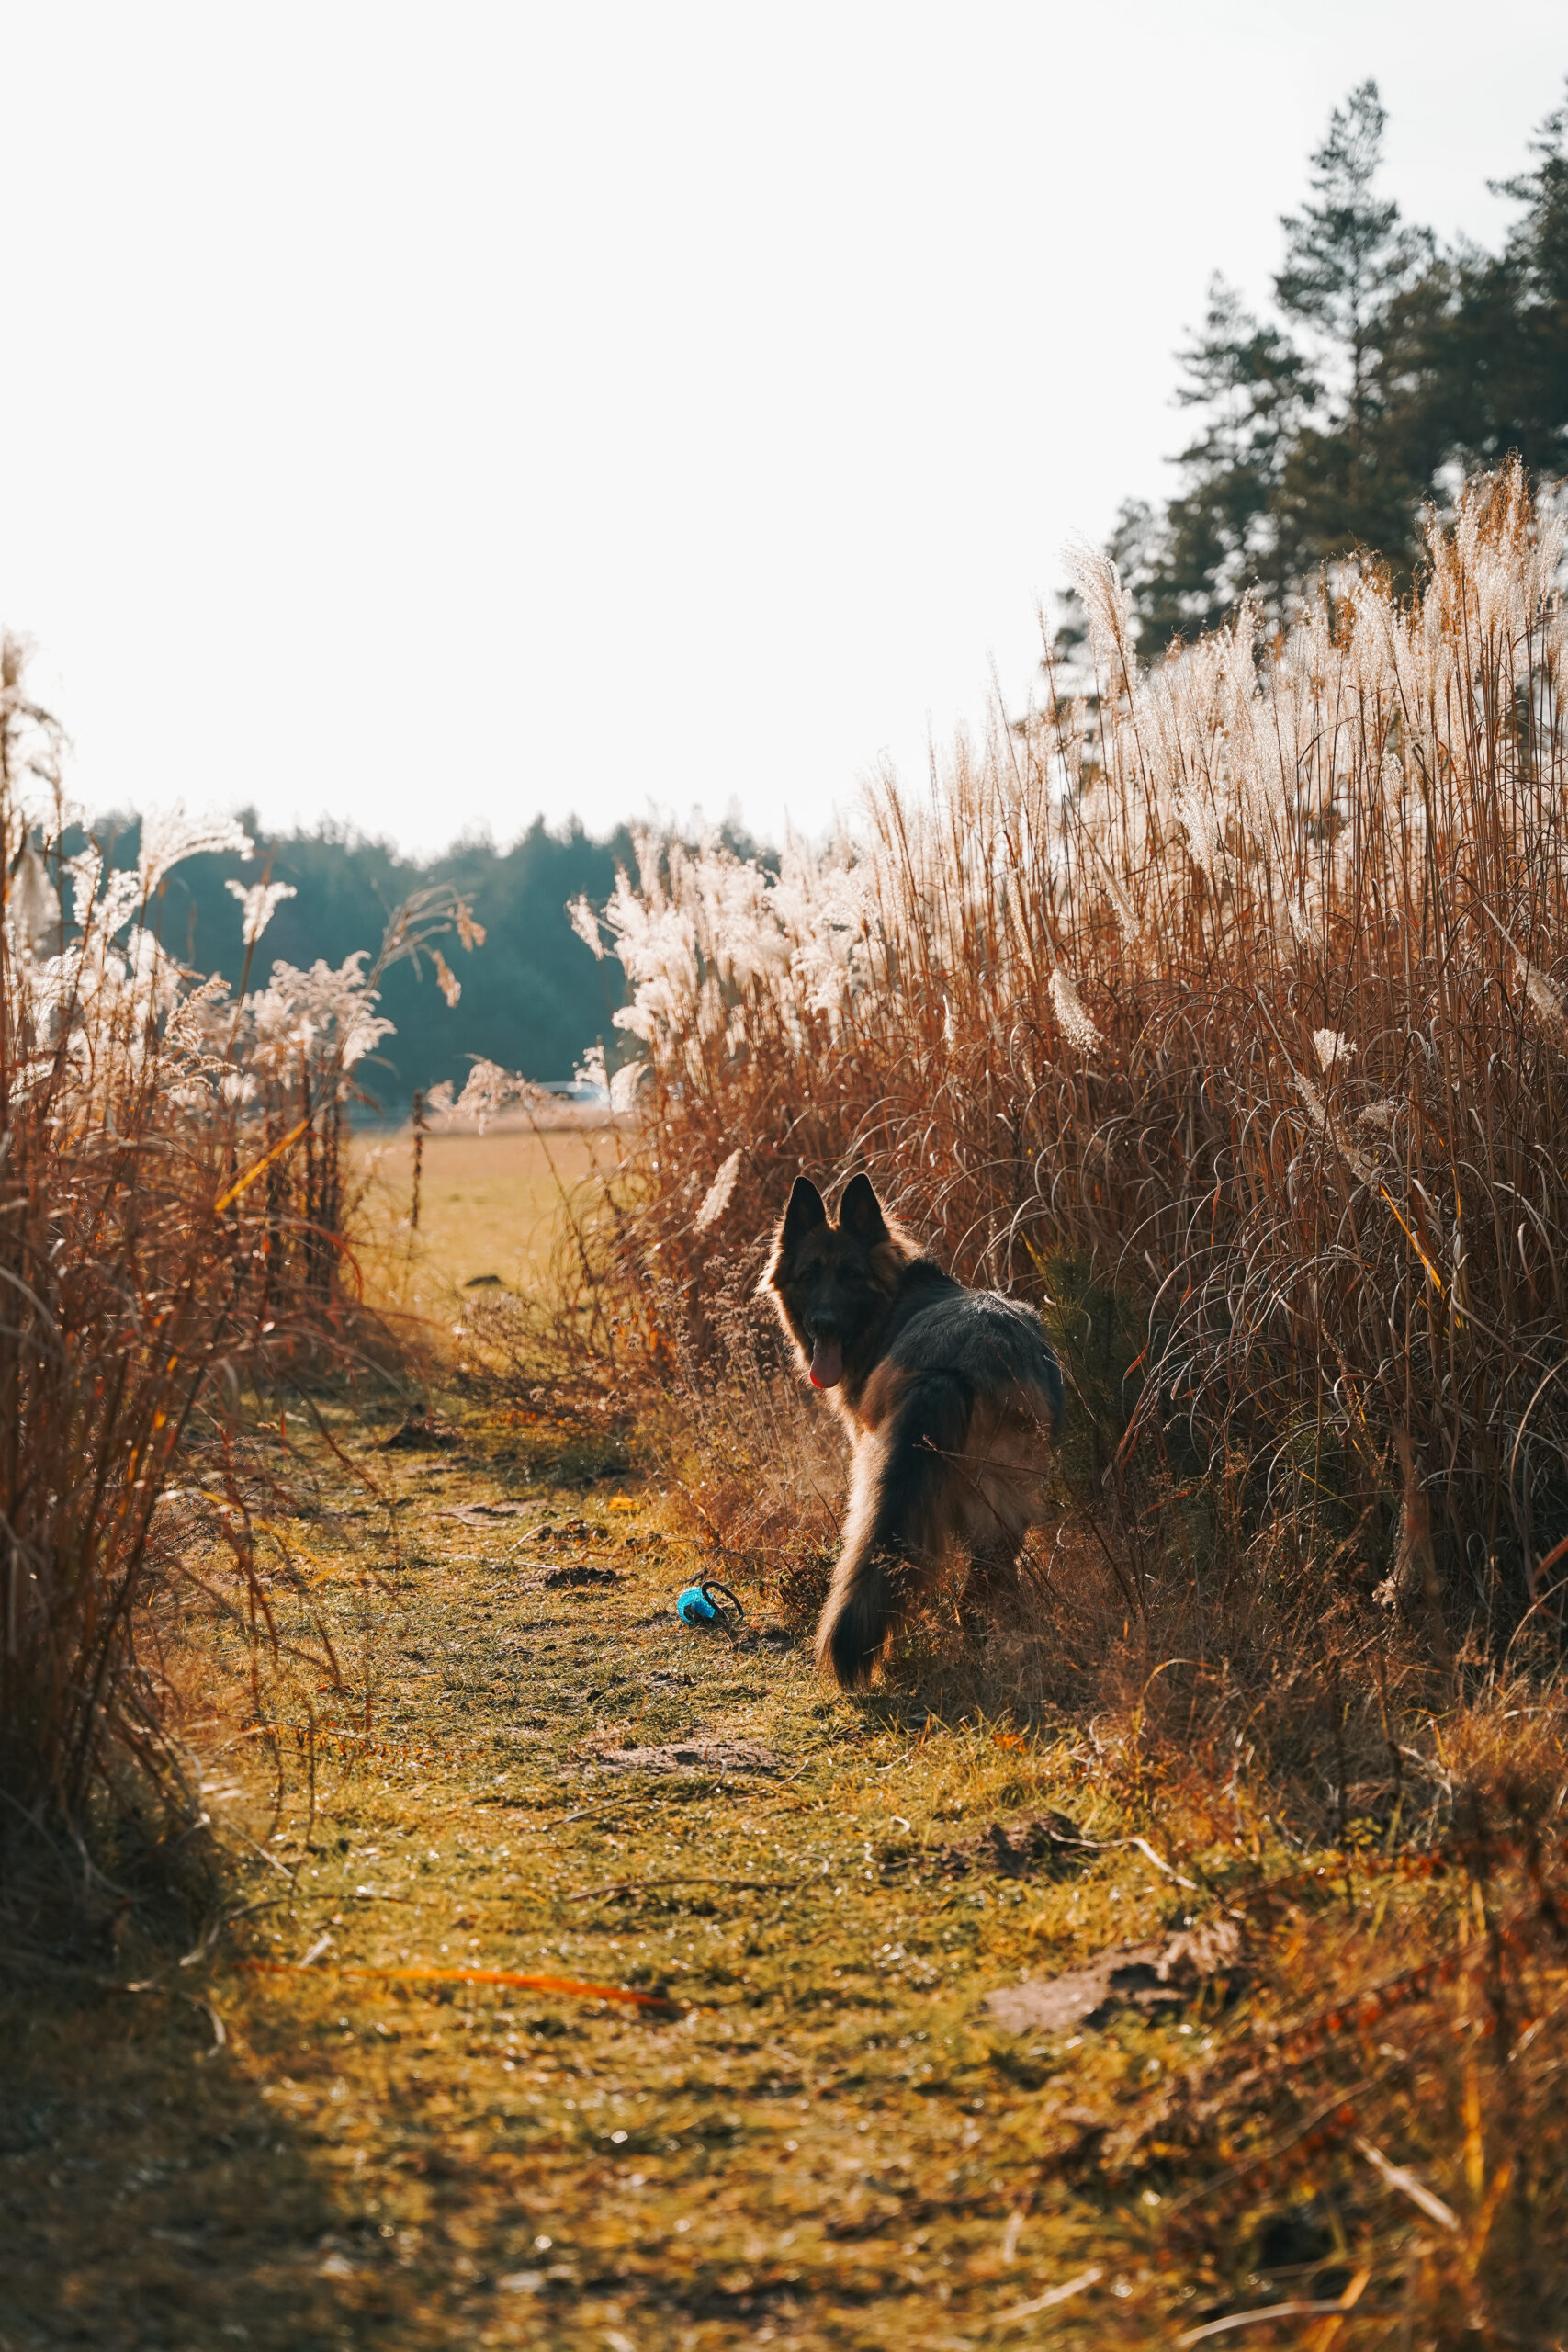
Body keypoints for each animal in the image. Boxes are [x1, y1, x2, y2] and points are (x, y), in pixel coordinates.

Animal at [761, 1176, 1066, 1693]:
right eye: (808, 1275)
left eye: (851, 1276)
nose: (823, 1324)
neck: (891, 1302)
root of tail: (953, 1366)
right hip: (1002, 1510)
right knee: (983, 1594)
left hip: (878, 1485)